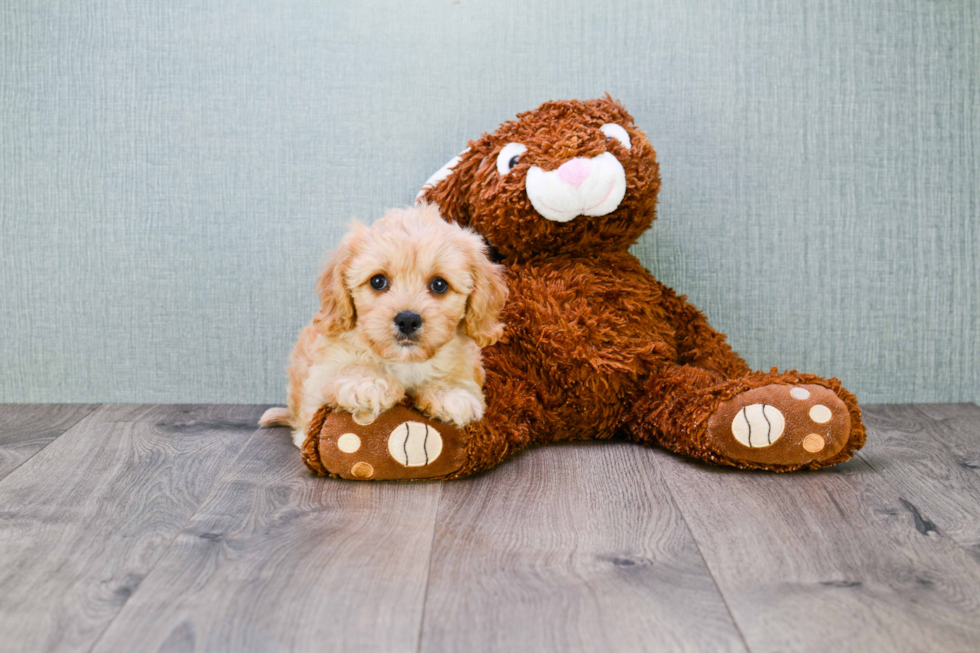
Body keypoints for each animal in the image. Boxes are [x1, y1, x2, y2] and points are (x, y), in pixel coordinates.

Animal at [256, 202, 510, 448]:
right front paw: (369, 382)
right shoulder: (323, 368)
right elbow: (344, 370)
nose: (407, 319)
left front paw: (451, 394)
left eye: (439, 284)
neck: (404, 362)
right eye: (378, 281)